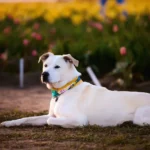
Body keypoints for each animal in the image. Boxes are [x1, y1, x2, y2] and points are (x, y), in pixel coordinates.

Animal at [1, 52, 150, 127]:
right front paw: (8, 123)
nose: (44, 74)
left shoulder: (79, 120)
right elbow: (27, 118)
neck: (65, 90)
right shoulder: (50, 114)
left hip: (139, 117)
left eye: (57, 67)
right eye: (45, 65)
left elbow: (50, 121)